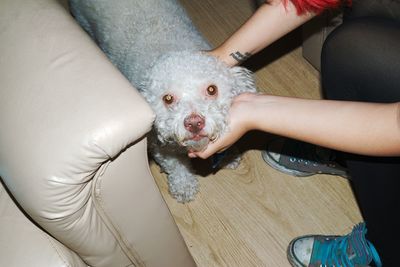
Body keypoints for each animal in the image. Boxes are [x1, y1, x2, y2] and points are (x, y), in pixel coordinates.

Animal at [69, 0, 256, 203]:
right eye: (168, 98)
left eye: (212, 89)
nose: (194, 123)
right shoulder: (159, 145)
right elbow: (176, 166)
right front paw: (184, 186)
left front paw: (229, 156)